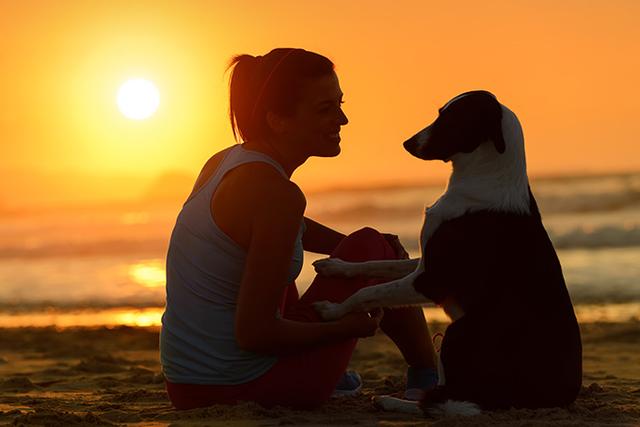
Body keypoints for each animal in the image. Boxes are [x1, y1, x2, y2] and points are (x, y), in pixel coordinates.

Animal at [312, 90, 584, 414]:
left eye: (450, 118)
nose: (407, 143)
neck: (486, 179)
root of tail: (554, 397)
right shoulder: (424, 264)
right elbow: (377, 264)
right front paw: (337, 266)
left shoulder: (432, 280)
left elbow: (368, 292)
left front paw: (333, 311)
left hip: (459, 332)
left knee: (441, 403)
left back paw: (391, 401)